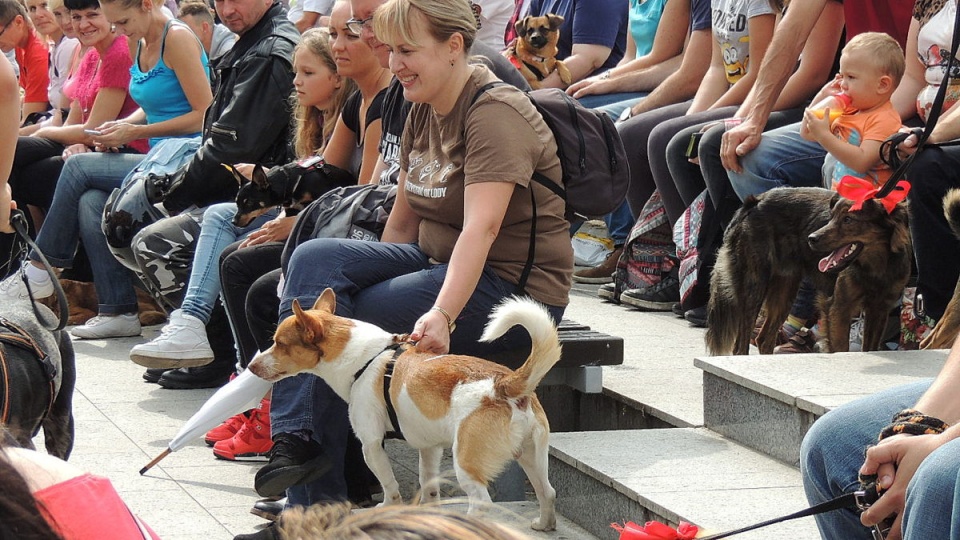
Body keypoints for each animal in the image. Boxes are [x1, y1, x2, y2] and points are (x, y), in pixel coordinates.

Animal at [248, 288, 564, 528]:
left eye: (279, 343)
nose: (251, 366)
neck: (365, 358)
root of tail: (506, 383)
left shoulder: (371, 444)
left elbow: (389, 485)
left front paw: (387, 508)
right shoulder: (429, 447)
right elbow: (429, 485)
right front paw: (427, 513)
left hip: (466, 460)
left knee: (482, 503)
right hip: (532, 456)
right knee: (547, 491)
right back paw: (544, 524)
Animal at [708, 188, 912, 356]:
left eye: (848, 220)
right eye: (831, 216)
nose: (811, 238)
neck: (877, 267)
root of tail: (755, 200)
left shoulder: (879, 310)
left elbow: (869, 347)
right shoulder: (839, 308)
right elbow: (841, 349)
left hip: (785, 290)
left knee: (764, 339)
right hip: (754, 285)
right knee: (741, 347)